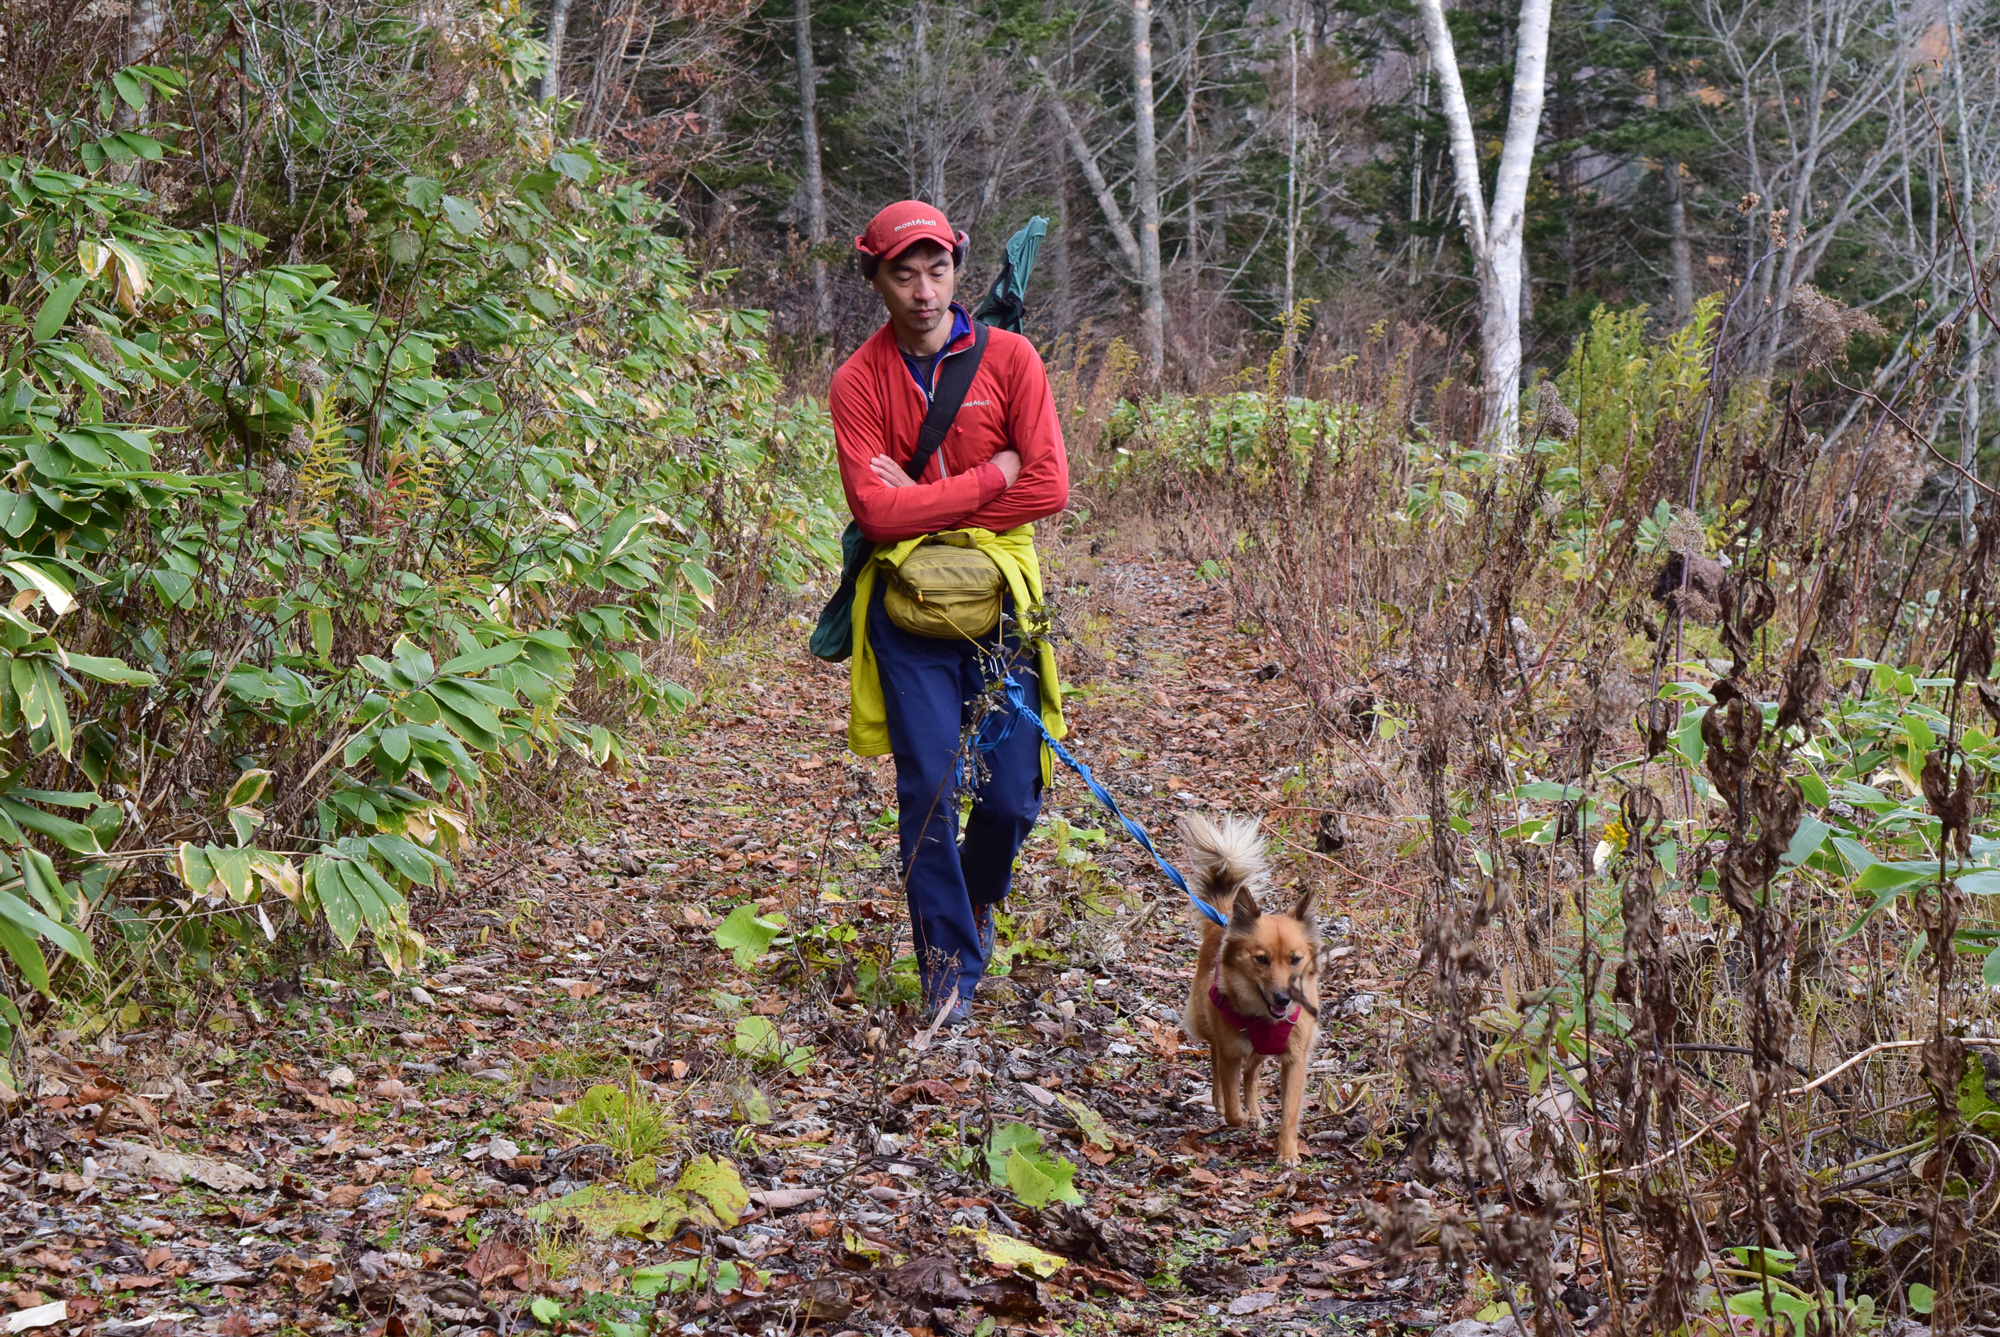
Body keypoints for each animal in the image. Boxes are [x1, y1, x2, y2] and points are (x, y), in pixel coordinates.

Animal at [1176, 808, 1320, 1160]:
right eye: (1261, 959)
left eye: (1295, 959)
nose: (1283, 999)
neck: (1263, 1017)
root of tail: (1226, 918)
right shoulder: (1231, 1051)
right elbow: (1231, 1105)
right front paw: (1235, 1113)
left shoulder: (1295, 1059)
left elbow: (1290, 1111)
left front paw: (1287, 1153)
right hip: (1209, 1024)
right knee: (1216, 1057)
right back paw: (1224, 1102)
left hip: (1260, 1052)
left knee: (1252, 1072)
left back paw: (1254, 1111)